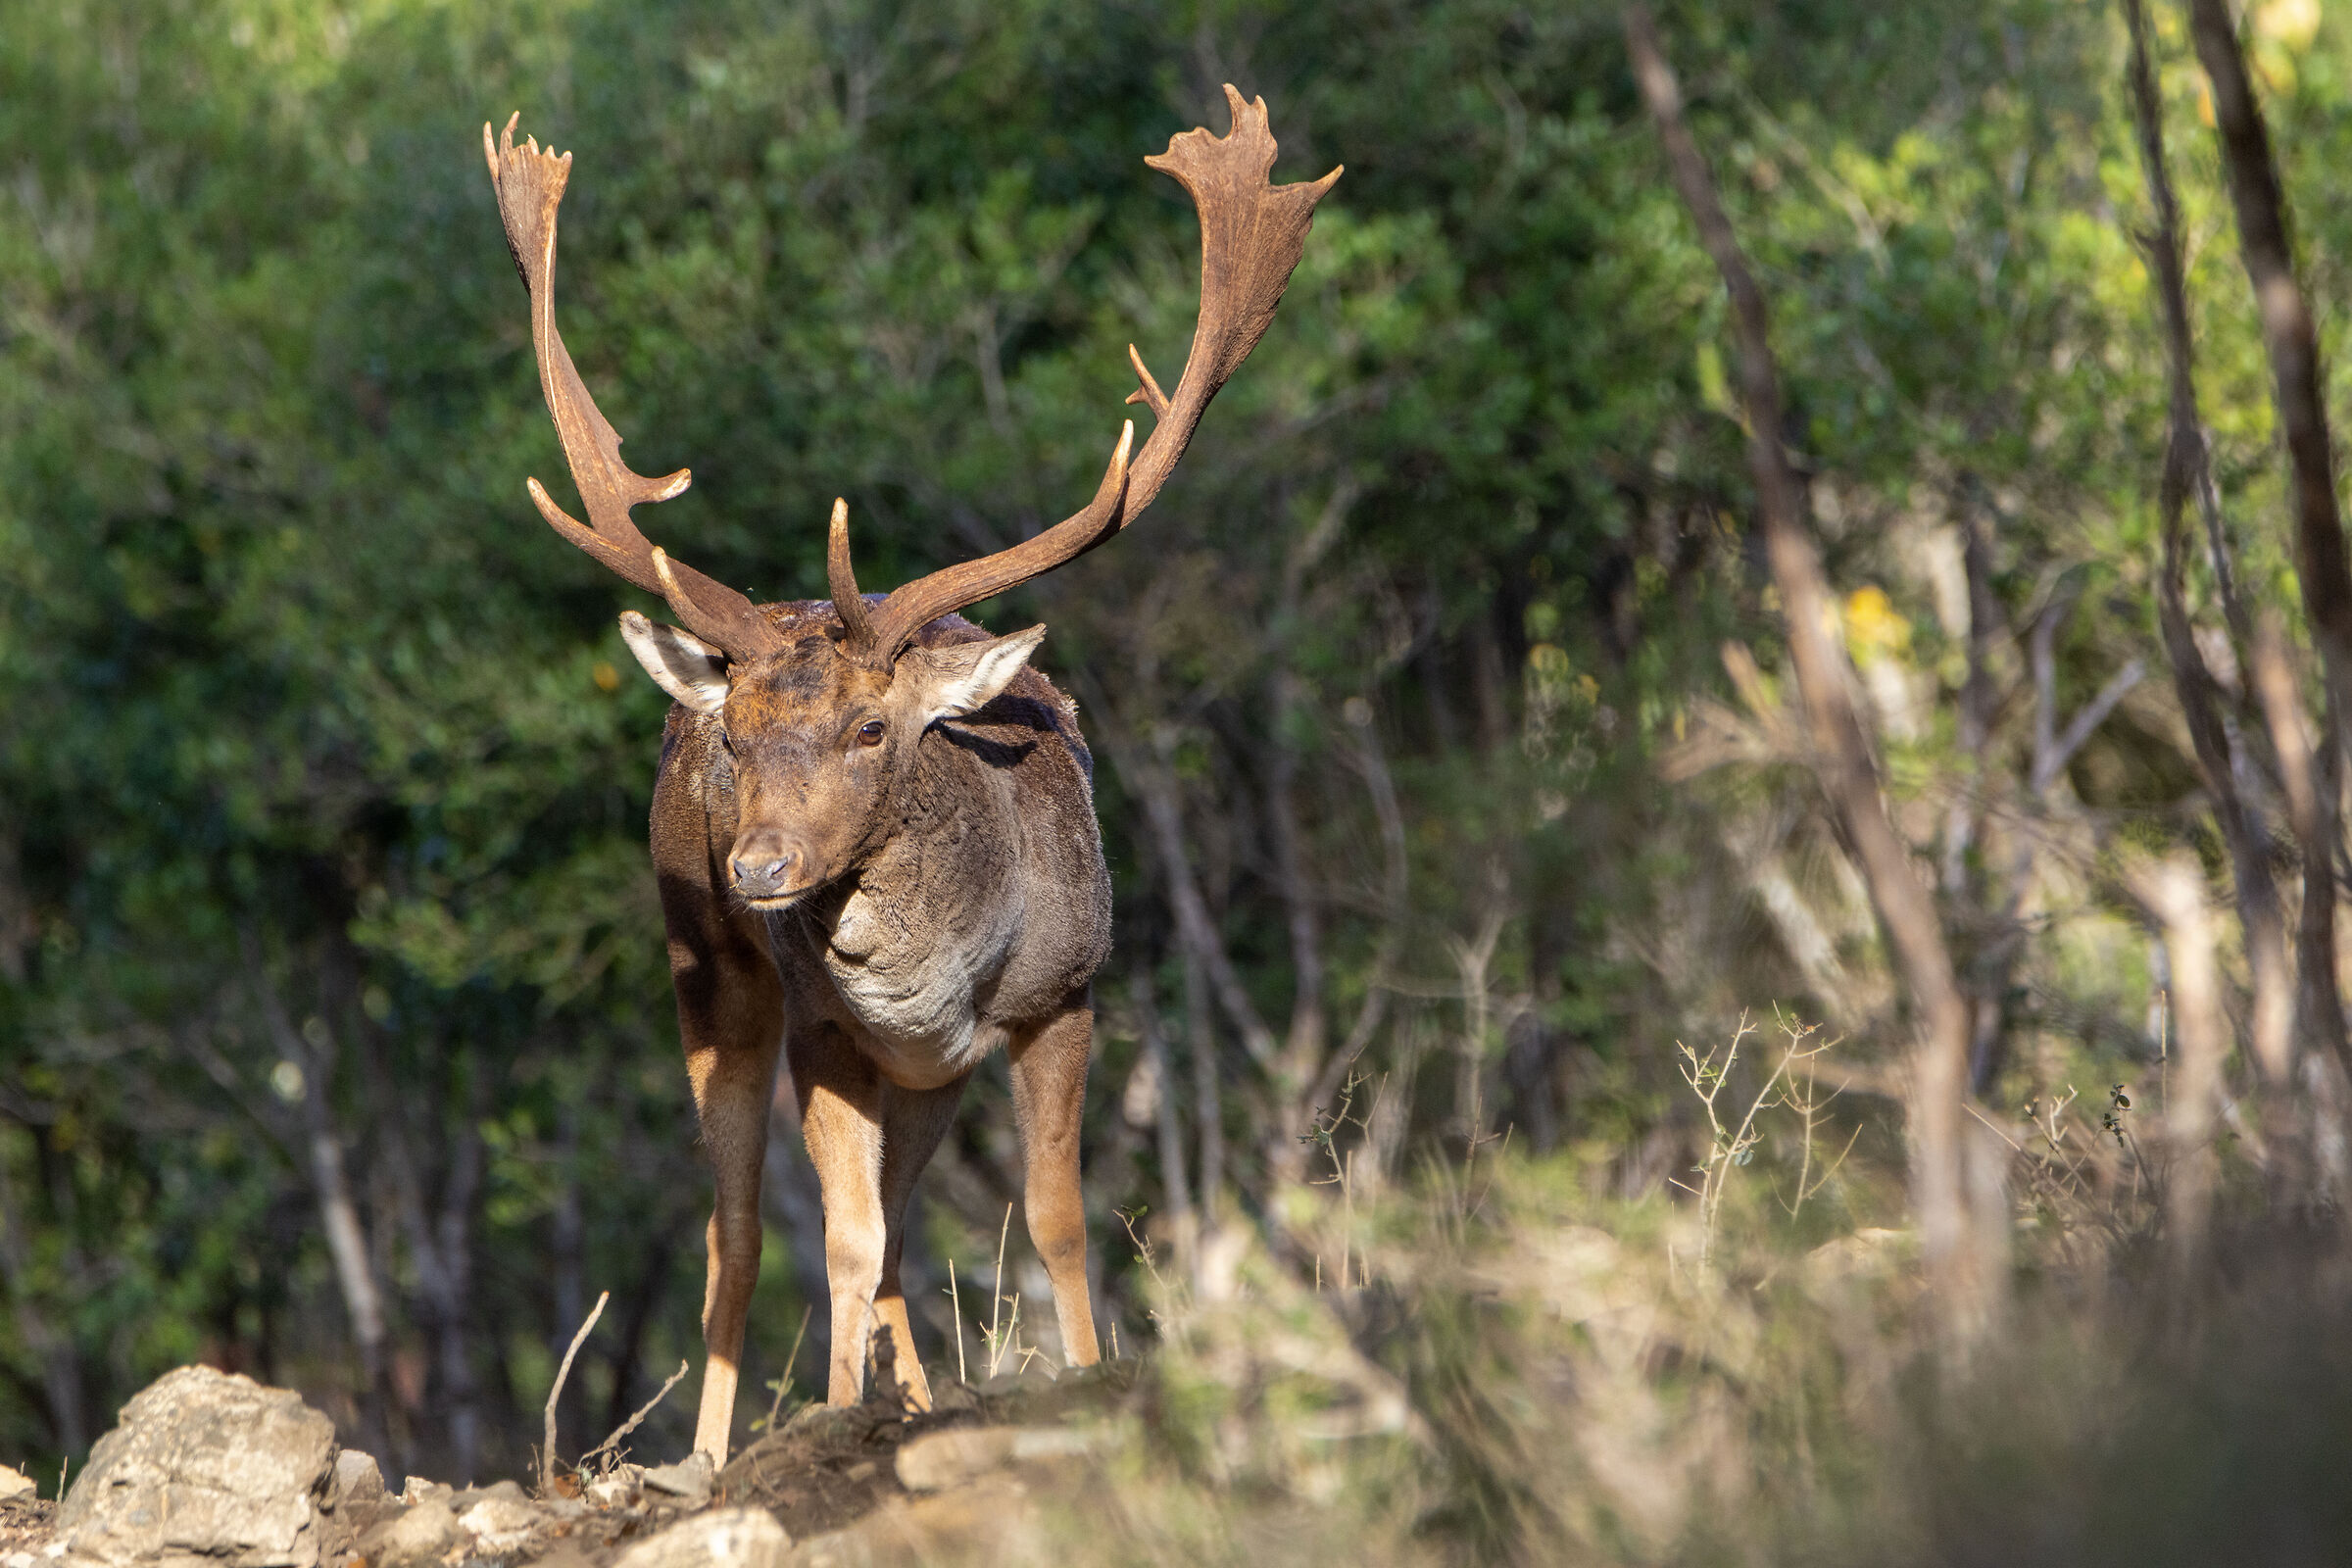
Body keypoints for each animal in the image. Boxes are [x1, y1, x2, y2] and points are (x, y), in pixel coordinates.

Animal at [482, 91, 1338, 1463]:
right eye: (737, 737)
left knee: (886, 1233)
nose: (759, 866)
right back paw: (712, 1451)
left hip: (932, 1075)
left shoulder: (1063, 996)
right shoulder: (828, 1027)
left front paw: (1074, 1376)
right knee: (739, 1229)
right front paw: (834, 1416)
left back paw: (919, 1403)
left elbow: (1048, 1221)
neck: (935, 967)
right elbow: (841, 1236)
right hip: (711, 976)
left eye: (872, 731)